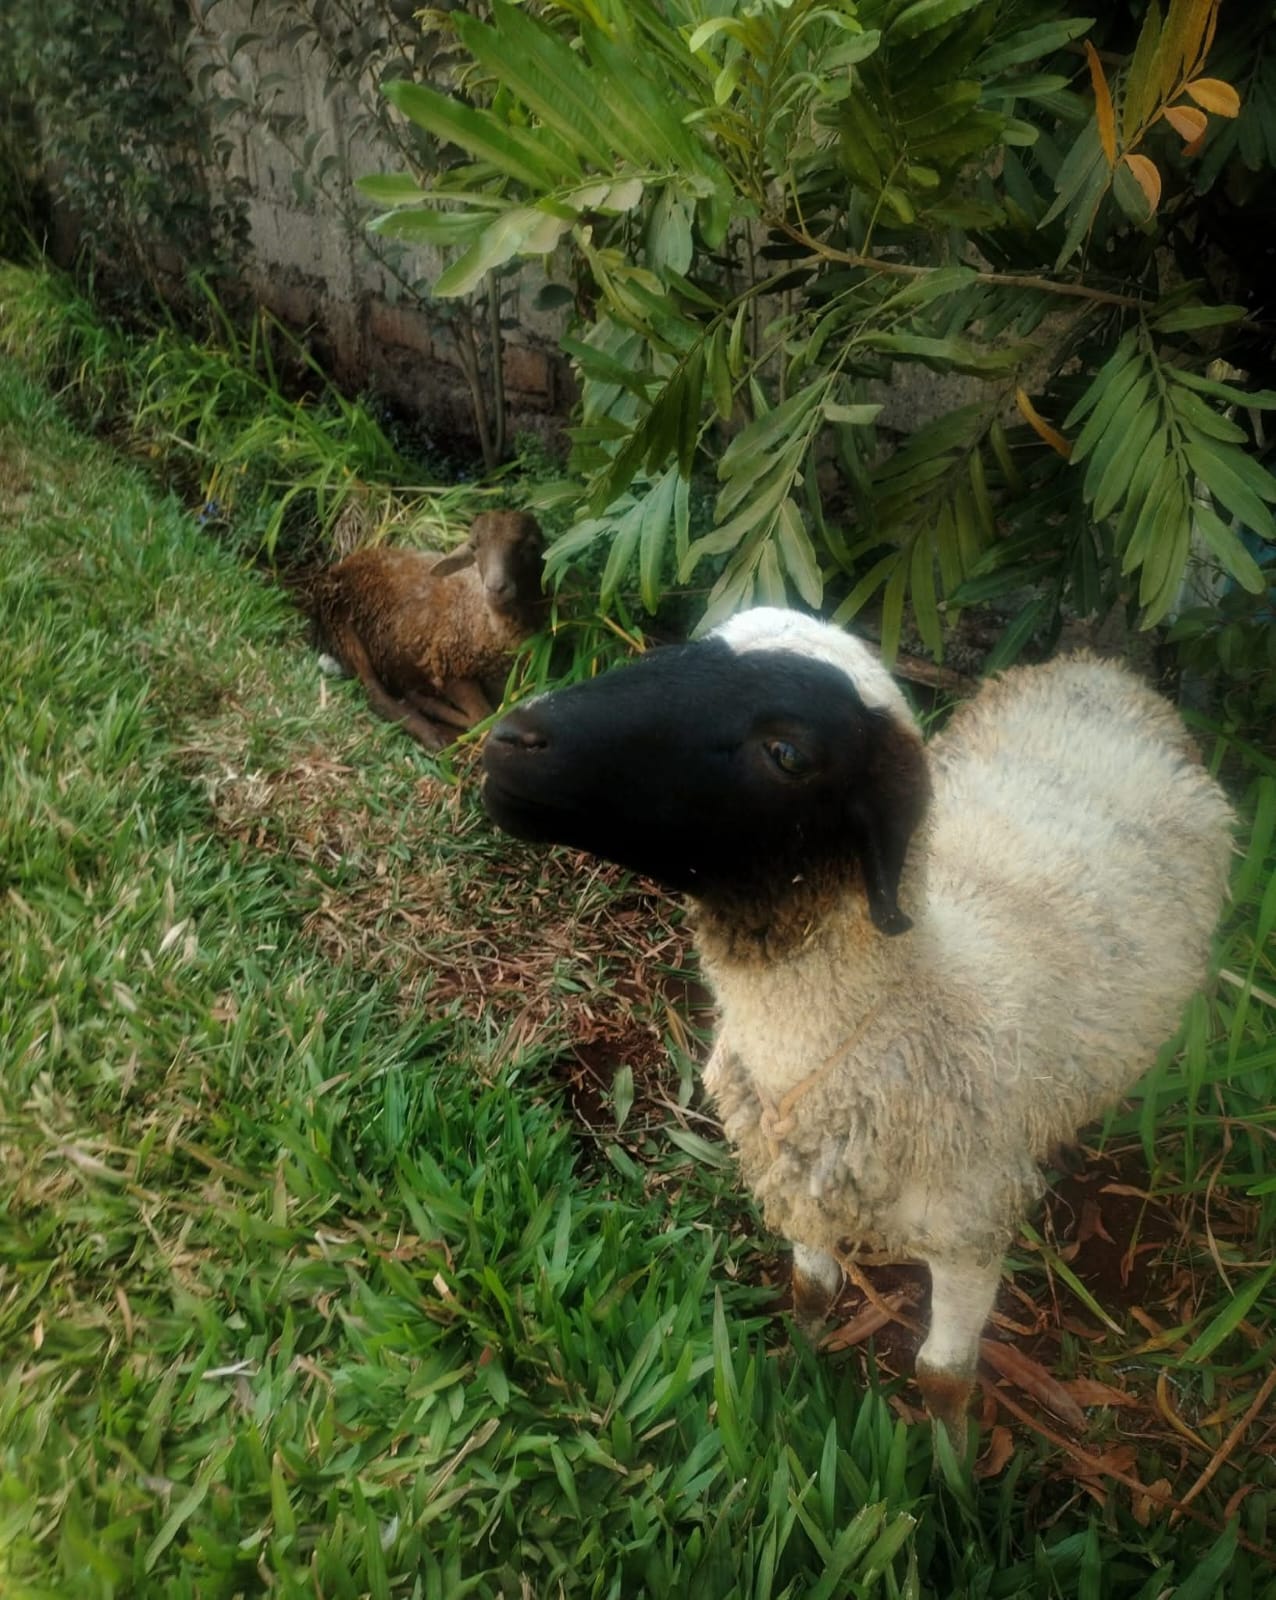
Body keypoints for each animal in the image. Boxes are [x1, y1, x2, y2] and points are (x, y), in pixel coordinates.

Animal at [306, 509, 545, 751]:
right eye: (474, 546)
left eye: (531, 546)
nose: (496, 589)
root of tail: (343, 564)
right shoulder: (447, 667)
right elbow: (483, 718)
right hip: (341, 626)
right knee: (375, 693)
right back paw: (430, 732)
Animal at [479, 606, 1234, 1445]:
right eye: (692, 645)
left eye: (788, 752)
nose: (510, 740)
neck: (905, 1005)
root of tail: (1103, 671)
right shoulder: (802, 1178)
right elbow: (811, 1287)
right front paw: (795, 1376)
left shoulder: (969, 1230)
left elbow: (941, 1375)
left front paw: (950, 1471)